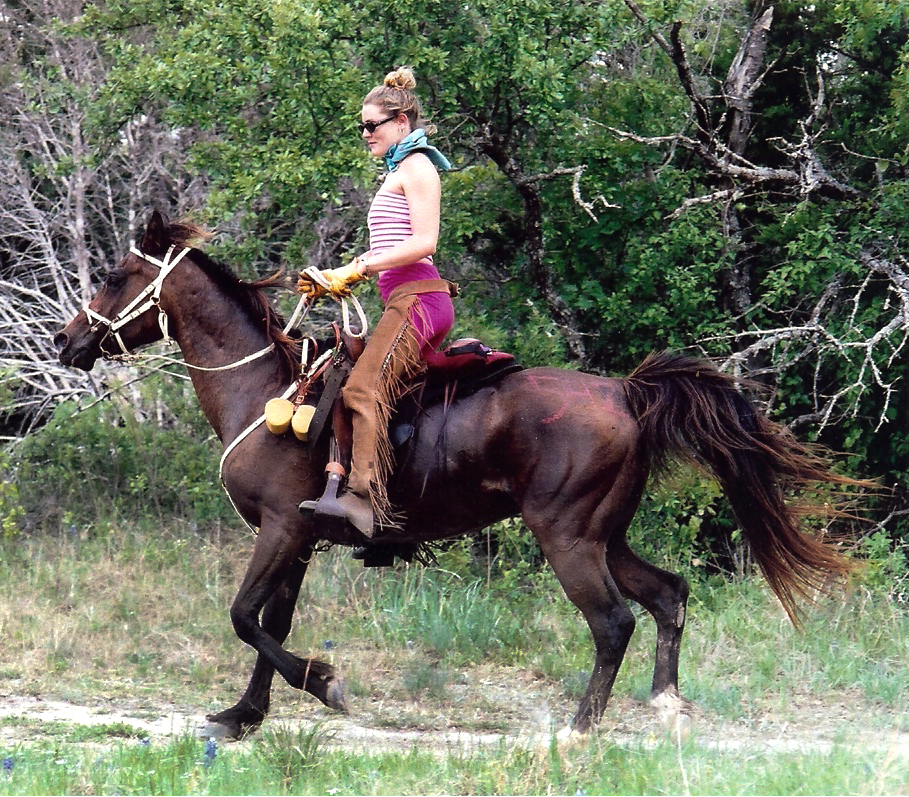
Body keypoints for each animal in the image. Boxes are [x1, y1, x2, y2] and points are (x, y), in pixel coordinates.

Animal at [55, 210, 859, 739]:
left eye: (116, 275)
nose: (68, 342)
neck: (266, 389)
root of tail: (625, 393)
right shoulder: (299, 538)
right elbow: (269, 622)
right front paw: (243, 715)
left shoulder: (280, 529)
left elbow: (245, 616)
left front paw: (325, 683)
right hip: (607, 534)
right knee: (668, 596)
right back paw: (664, 703)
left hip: (567, 538)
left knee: (614, 621)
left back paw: (581, 727)